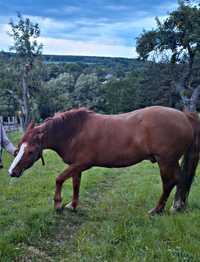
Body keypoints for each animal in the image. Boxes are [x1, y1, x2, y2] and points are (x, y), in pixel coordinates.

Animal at [7, 106, 200, 215]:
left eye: (31, 151)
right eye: (18, 147)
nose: (12, 172)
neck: (74, 131)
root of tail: (185, 116)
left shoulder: (82, 164)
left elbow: (59, 179)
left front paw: (58, 204)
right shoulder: (76, 166)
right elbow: (75, 184)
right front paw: (73, 205)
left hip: (166, 161)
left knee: (169, 183)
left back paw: (158, 209)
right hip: (171, 161)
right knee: (181, 180)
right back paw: (178, 206)